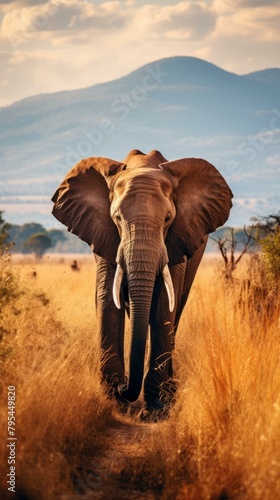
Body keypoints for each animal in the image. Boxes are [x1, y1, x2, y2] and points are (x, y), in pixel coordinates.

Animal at [52, 150, 232, 420]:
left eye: (168, 218)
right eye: (116, 217)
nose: (123, 386)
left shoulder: (177, 239)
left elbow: (163, 306)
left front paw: (156, 409)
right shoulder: (104, 235)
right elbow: (107, 299)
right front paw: (116, 403)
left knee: (175, 311)